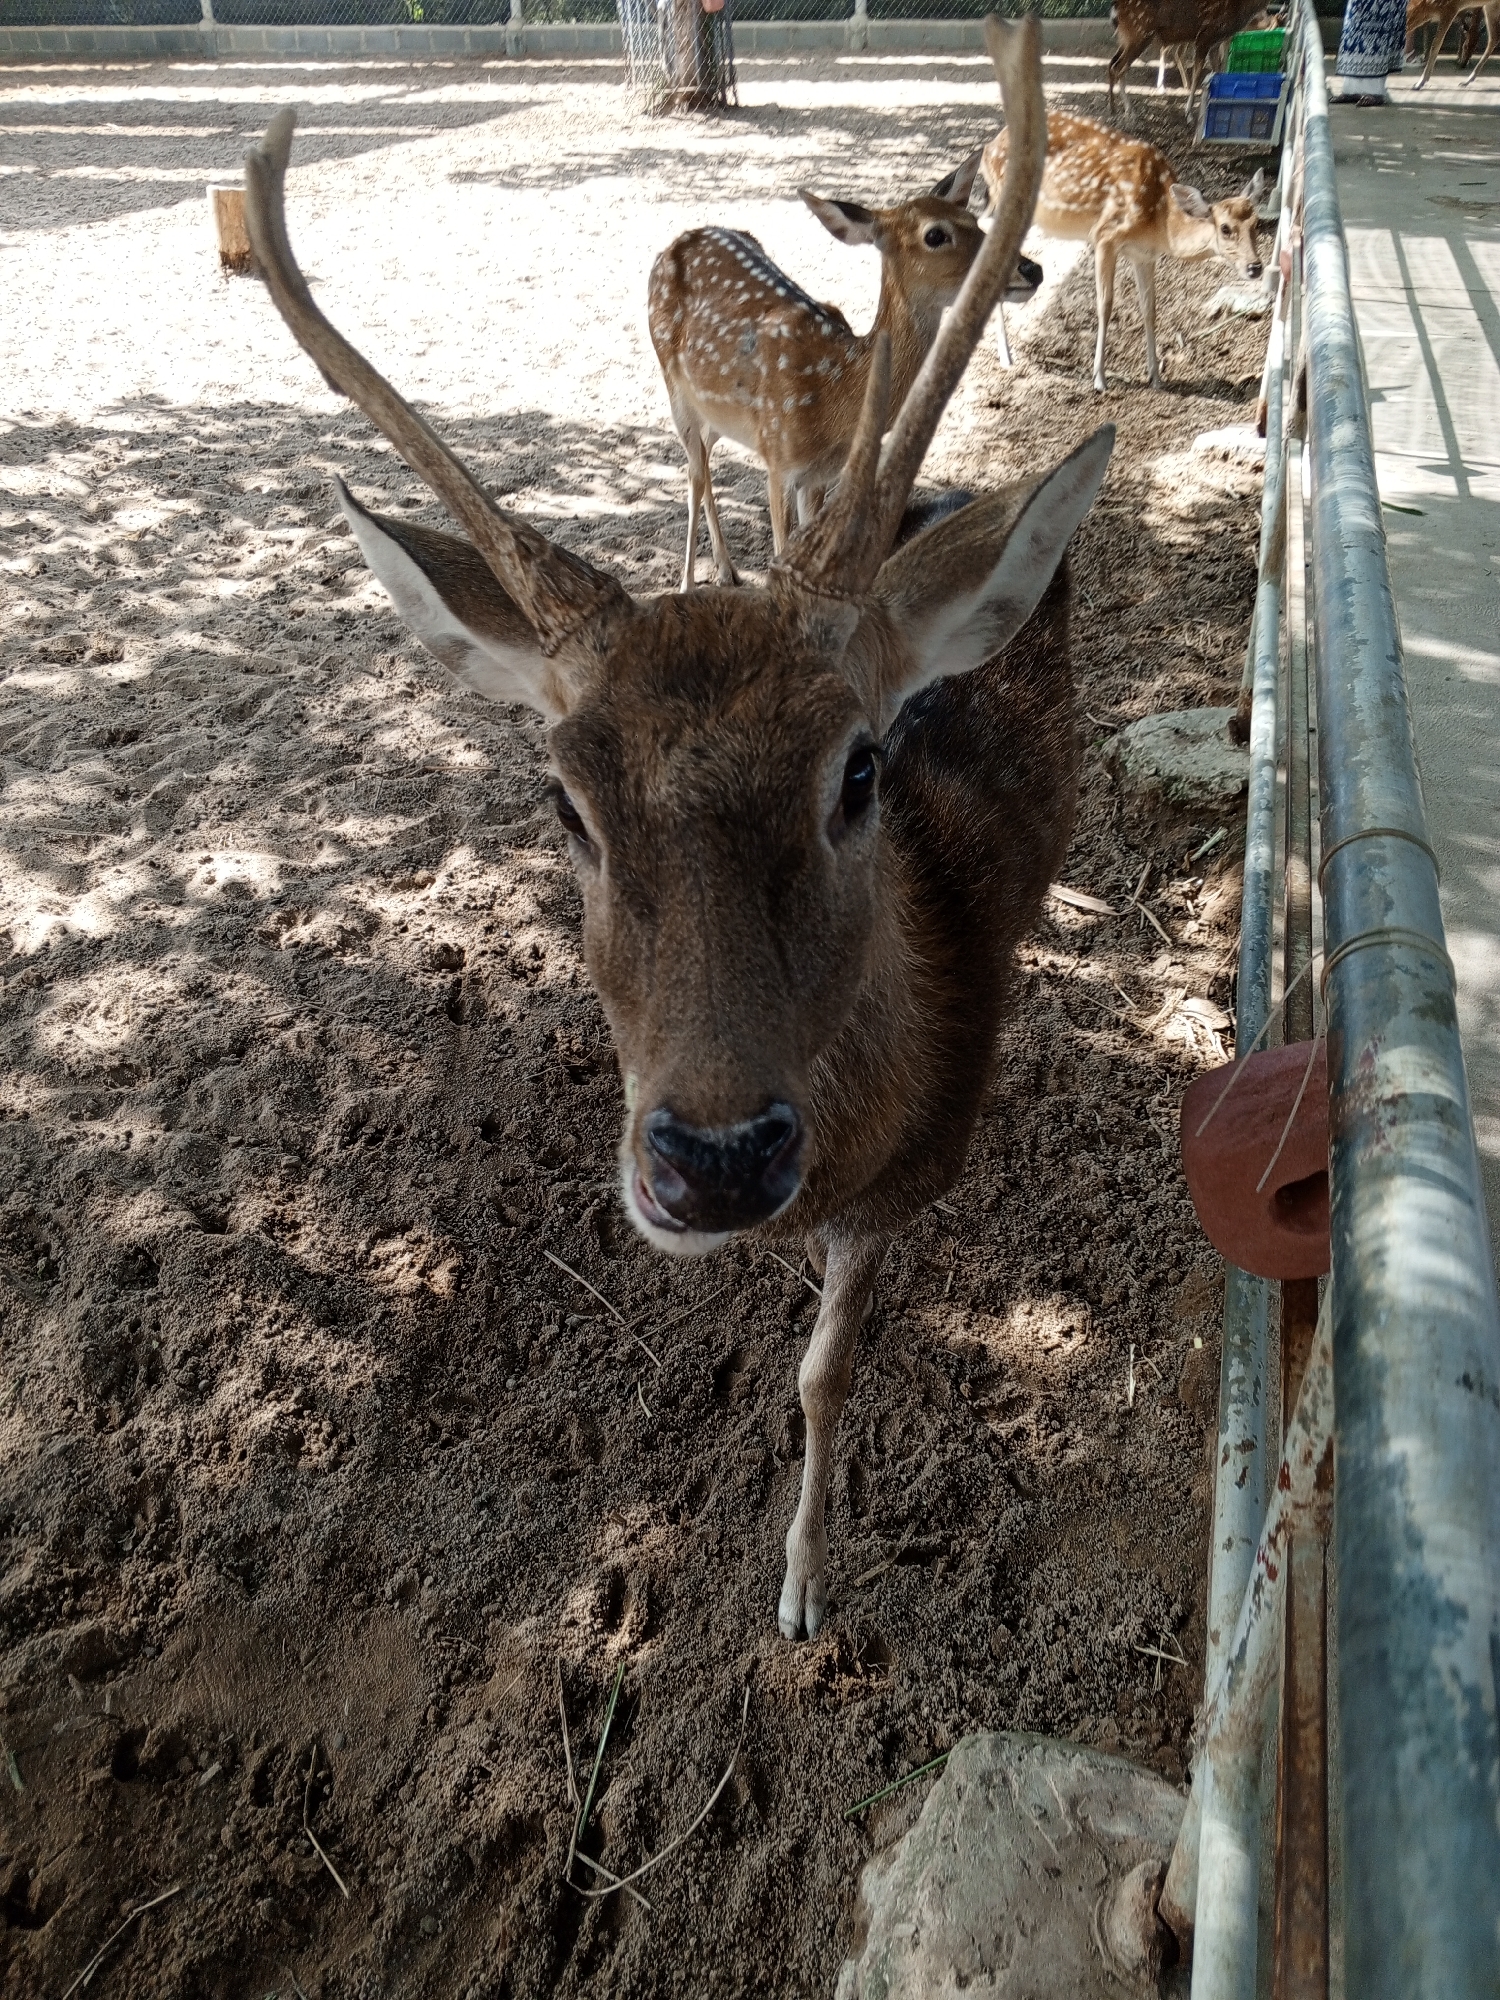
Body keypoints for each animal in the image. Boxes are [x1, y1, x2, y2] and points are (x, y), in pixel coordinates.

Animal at [647, 163, 1044, 589]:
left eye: (974, 220)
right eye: (935, 234)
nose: (1031, 268)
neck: (835, 391)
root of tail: (676, 243)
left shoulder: (819, 475)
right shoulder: (779, 459)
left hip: (718, 411)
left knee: (705, 457)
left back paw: (725, 568)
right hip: (673, 385)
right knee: (694, 474)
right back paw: (687, 583)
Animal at [981, 111, 1265, 393]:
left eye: (1257, 222)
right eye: (1225, 228)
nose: (1255, 266)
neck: (1160, 223)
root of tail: (988, 148)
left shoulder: (1144, 255)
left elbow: (1149, 308)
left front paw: (1156, 377)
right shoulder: (1105, 236)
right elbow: (1105, 305)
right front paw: (1099, 379)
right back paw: (1006, 356)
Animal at [1107, 0, 1269, 122]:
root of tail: (1115, 7)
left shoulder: (1216, 42)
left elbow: (1218, 72)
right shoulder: (1205, 37)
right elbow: (1198, 76)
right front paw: (1189, 113)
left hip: (1127, 37)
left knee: (1112, 63)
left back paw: (1113, 108)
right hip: (1140, 31)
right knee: (1119, 67)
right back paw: (1129, 111)